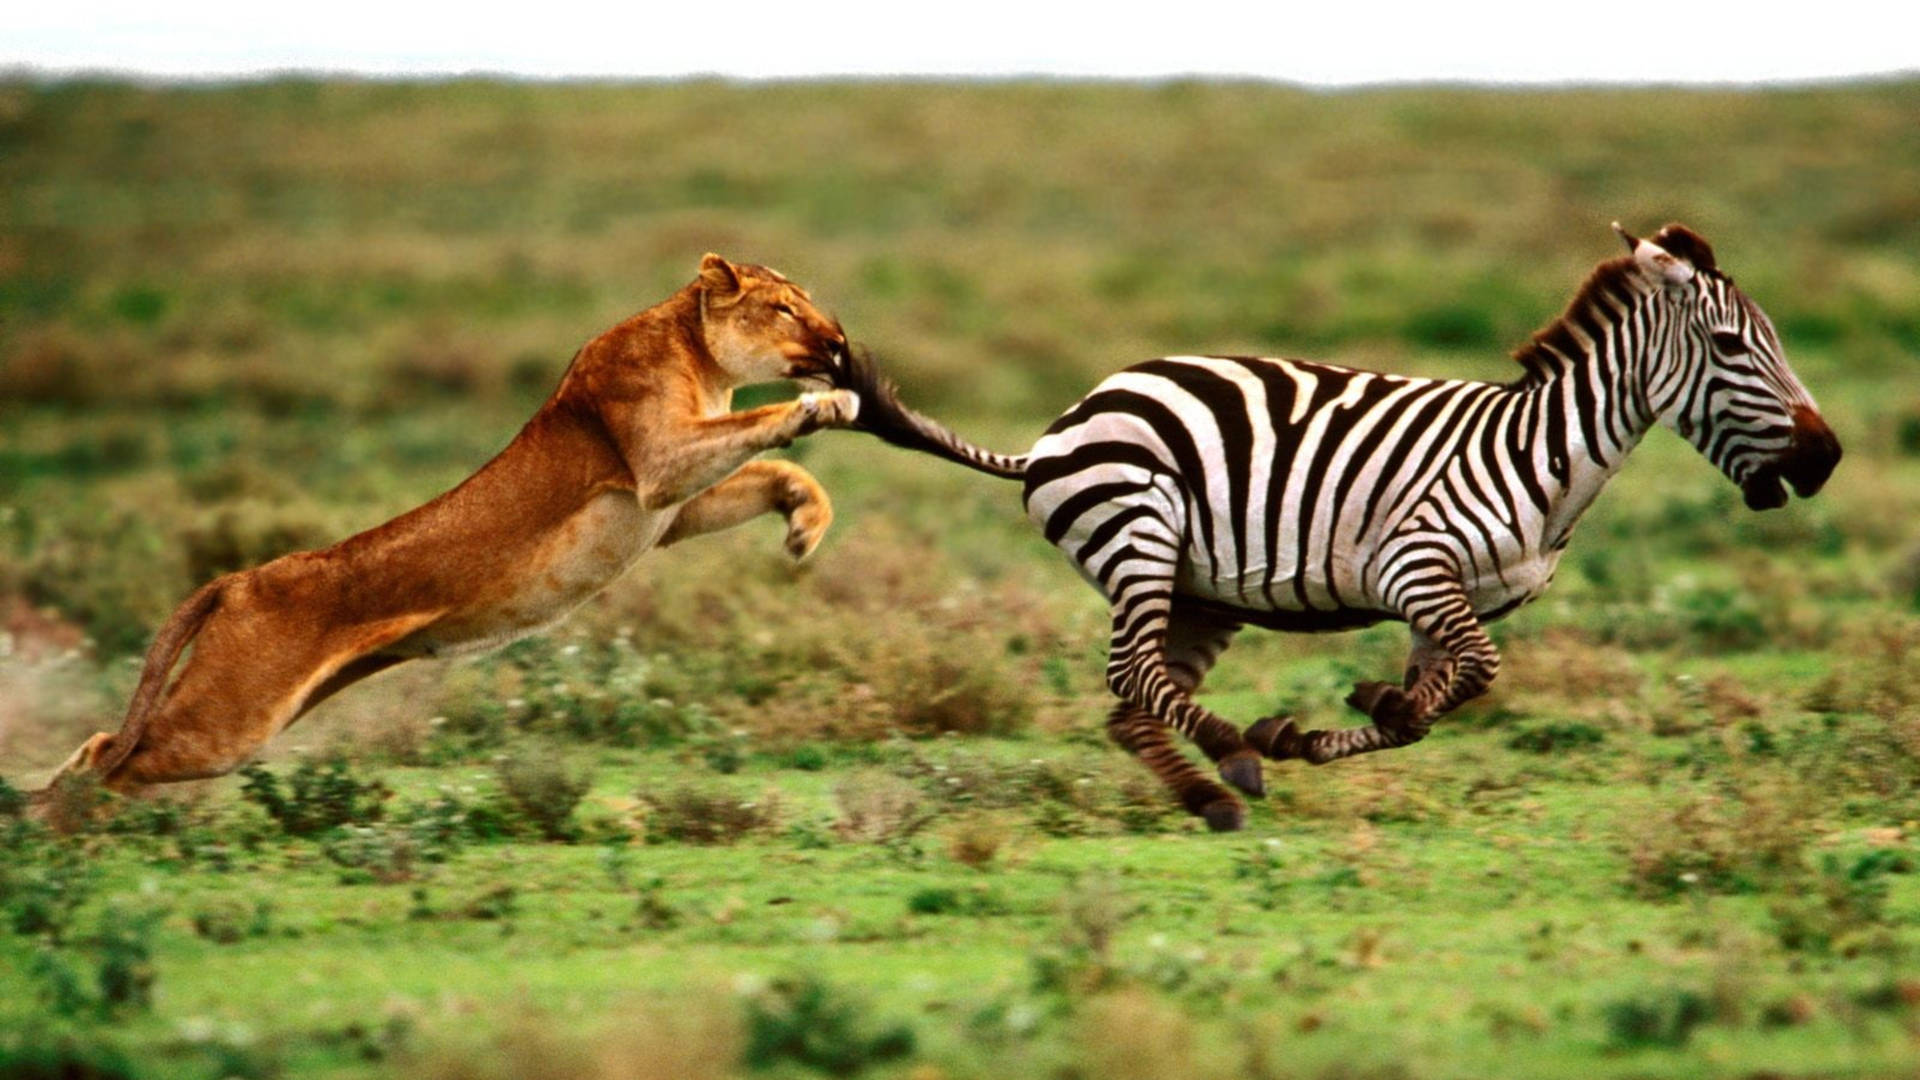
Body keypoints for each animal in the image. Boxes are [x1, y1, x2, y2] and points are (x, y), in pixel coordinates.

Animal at [36, 253, 859, 802]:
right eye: (786, 310)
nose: (839, 345)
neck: (703, 358)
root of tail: (239, 578)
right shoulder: (657, 458)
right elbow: (759, 425)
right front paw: (821, 407)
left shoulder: (669, 511)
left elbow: (768, 475)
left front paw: (804, 523)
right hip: (224, 719)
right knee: (107, 758)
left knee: (110, 755)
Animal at [836, 223, 1841, 831]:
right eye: (1732, 347)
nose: (1825, 459)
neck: (1541, 456)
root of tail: (1063, 424)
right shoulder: (1416, 565)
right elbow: (1478, 674)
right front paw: (1313, 728)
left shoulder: (1456, 602)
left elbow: (1439, 702)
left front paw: (1355, 715)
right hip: (1139, 533)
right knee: (1132, 675)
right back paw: (1233, 757)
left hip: (1198, 590)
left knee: (1132, 698)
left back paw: (1208, 793)